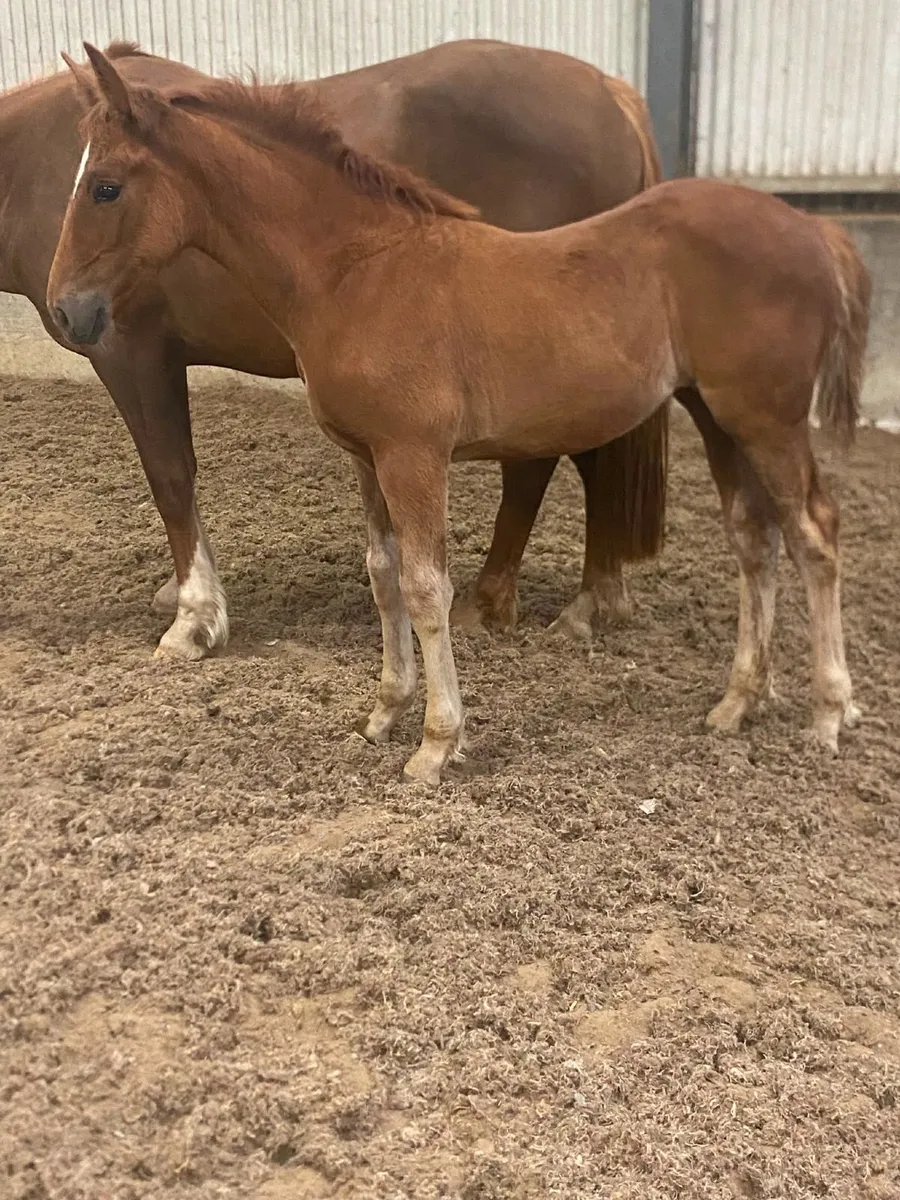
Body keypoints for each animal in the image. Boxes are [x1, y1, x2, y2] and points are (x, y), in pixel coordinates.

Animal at [1, 39, 667, 660]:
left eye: (105, 189)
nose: (68, 306)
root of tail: (612, 93)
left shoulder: (131, 355)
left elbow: (169, 476)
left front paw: (194, 618)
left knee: (544, 466)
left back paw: (510, 603)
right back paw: (590, 598)